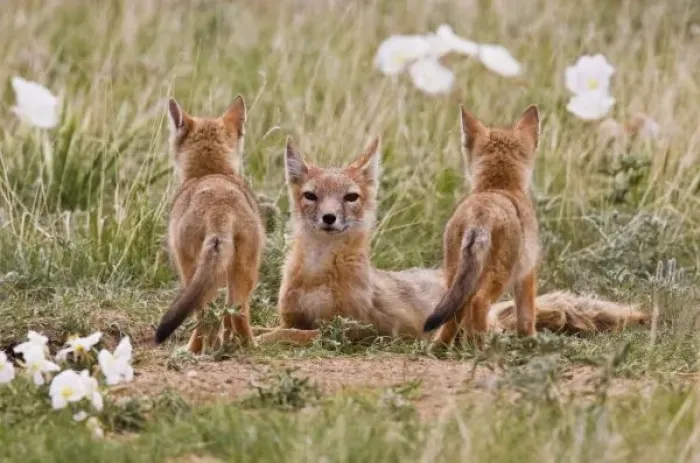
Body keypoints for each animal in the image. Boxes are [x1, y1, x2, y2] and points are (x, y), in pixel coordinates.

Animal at [154, 95, 264, 353]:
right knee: (236, 312)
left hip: (193, 274)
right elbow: (225, 318)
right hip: (244, 273)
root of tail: (218, 206)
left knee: (205, 316)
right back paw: (247, 347)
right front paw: (225, 342)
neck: (211, 173)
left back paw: (192, 350)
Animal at [254, 136, 648, 346]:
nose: (329, 218)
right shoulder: (293, 318)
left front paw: (252, 339)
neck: (318, 274)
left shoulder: (348, 331)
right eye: (311, 196)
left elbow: (287, 335)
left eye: (350, 197)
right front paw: (246, 333)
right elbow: (275, 327)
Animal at [423, 105, 542, 346]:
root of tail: (481, 213)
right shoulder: (527, 273)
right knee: (479, 301)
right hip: (499, 276)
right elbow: (527, 316)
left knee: (456, 311)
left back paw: (441, 346)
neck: (498, 187)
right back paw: (481, 345)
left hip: (454, 274)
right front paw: (531, 340)